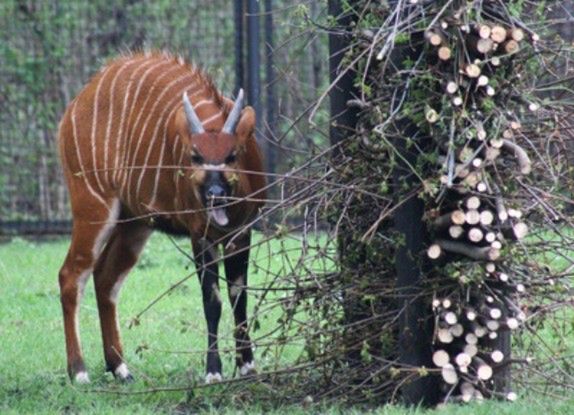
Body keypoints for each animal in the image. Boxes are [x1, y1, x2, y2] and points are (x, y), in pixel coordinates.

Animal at [56, 53, 268, 386]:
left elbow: (239, 298)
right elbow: (212, 301)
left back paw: (120, 368)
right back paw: (79, 371)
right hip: (94, 207)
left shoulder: (241, 232)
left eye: (232, 155)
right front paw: (213, 371)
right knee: (71, 274)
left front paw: (248, 367)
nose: (214, 194)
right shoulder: (201, 233)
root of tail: (75, 107)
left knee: (105, 277)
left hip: (135, 224)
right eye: (195, 155)